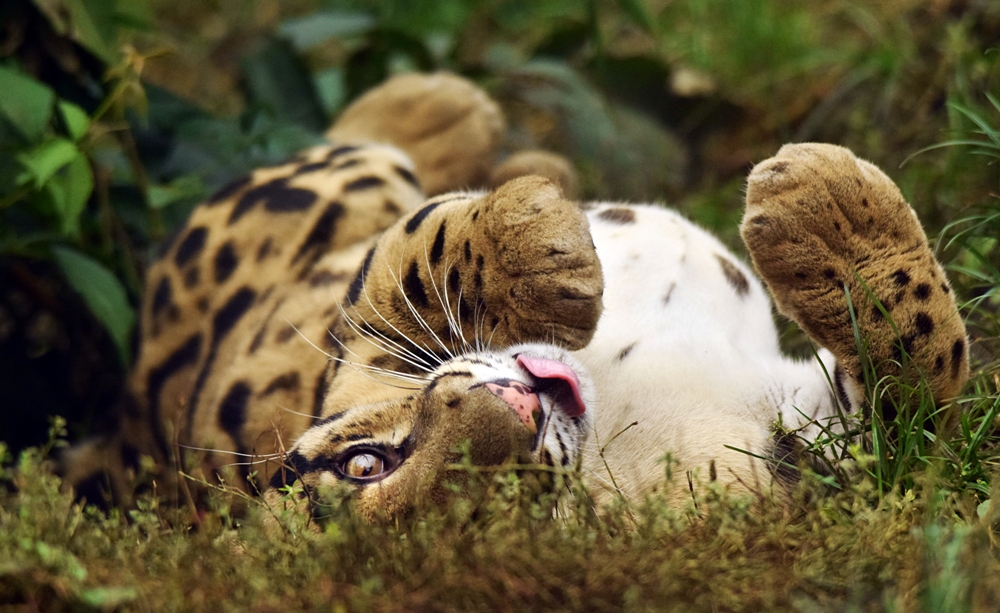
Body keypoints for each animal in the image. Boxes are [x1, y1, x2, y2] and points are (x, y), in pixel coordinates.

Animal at [63, 71, 969, 524]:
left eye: (365, 462)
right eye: (494, 521)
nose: (521, 408)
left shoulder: (358, 340)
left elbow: (422, 251)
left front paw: (546, 255)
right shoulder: (834, 461)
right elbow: (929, 391)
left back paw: (471, 124)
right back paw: (447, 110)